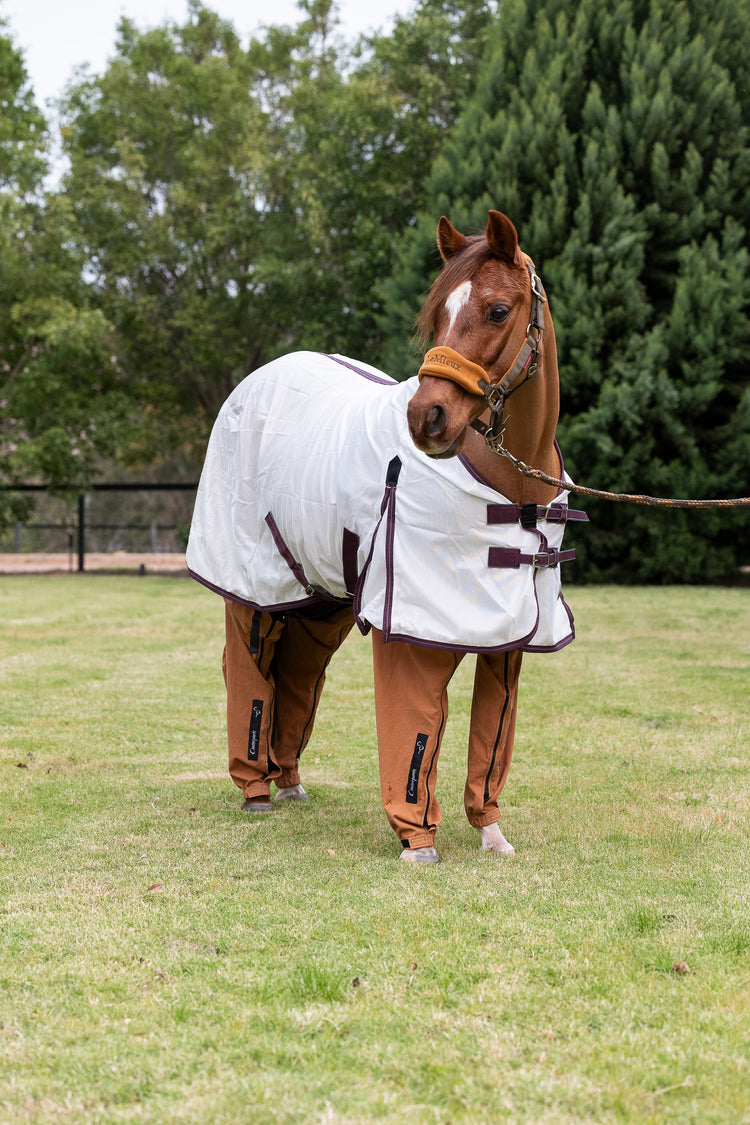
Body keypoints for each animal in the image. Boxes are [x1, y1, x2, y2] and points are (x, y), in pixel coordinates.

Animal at [187, 210, 586, 864]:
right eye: (438, 312)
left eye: (499, 310)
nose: (427, 419)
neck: (512, 484)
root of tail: (259, 379)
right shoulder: (414, 634)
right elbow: (414, 725)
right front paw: (416, 841)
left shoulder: (508, 637)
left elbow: (491, 739)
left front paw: (490, 833)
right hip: (254, 592)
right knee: (251, 668)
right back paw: (255, 789)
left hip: (322, 600)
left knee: (299, 675)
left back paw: (288, 780)